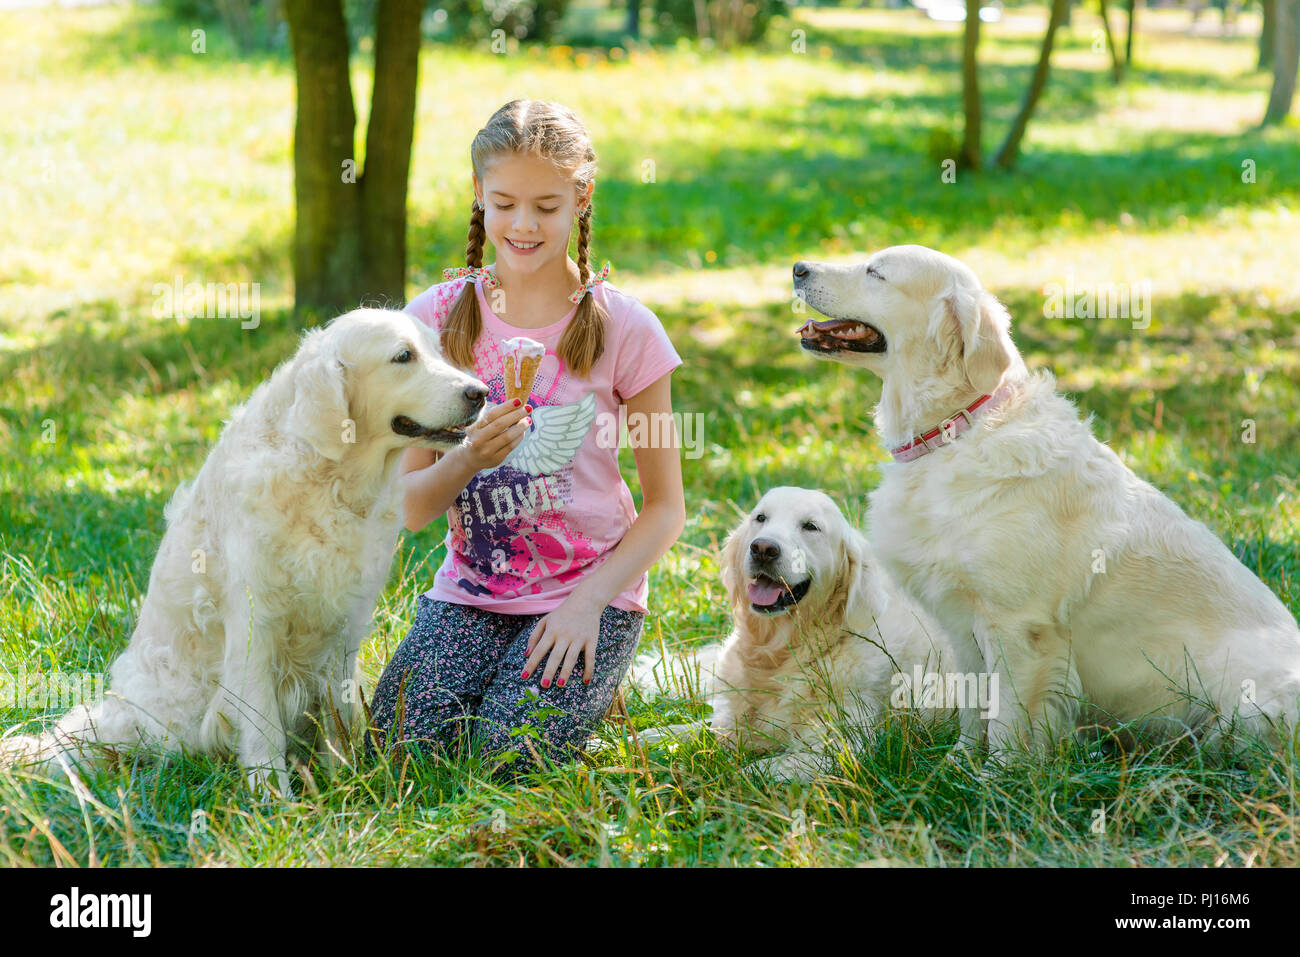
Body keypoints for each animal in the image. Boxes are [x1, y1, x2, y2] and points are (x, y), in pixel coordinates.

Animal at [1, 306, 488, 790]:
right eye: (403, 357)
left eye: (438, 350)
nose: (480, 392)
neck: (328, 480)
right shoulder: (256, 622)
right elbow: (263, 725)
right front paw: (275, 795)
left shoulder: (344, 627)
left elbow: (338, 715)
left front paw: (344, 781)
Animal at [631, 486, 982, 780]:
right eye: (760, 518)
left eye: (810, 527)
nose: (763, 548)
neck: (782, 655)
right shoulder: (731, 722)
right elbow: (687, 729)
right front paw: (631, 740)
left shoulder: (841, 747)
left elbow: (750, 772)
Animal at [790, 243, 1300, 759]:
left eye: (876, 272)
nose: (797, 268)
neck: (956, 428)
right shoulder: (960, 623)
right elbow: (975, 706)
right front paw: (958, 763)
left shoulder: (1017, 626)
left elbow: (1008, 715)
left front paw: (997, 772)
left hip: (1247, 703)